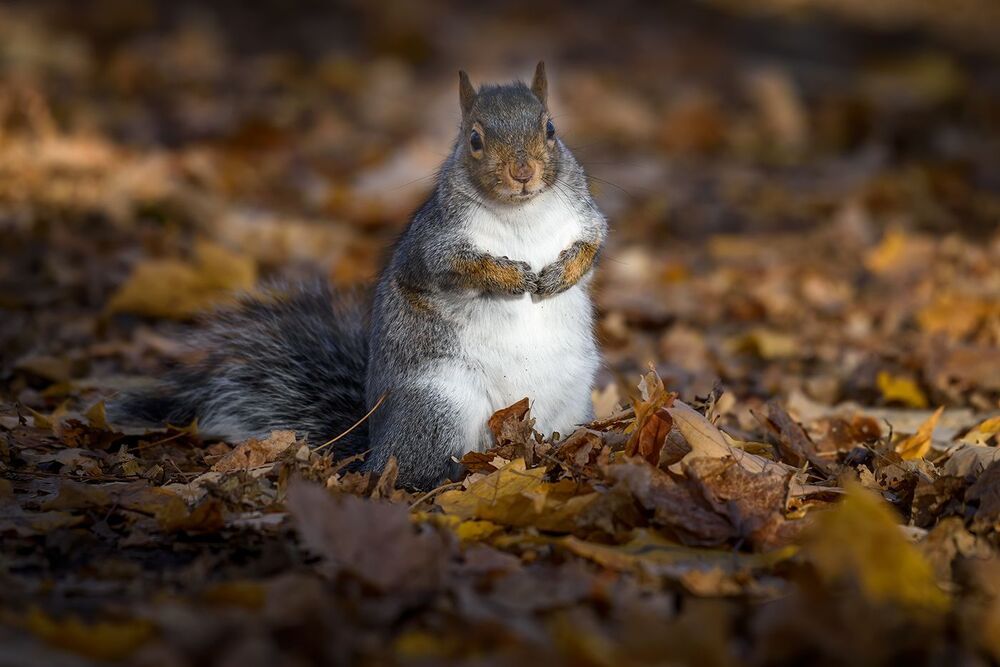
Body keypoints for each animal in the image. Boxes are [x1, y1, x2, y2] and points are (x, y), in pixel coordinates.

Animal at [109, 62, 608, 489]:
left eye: (551, 129)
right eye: (474, 139)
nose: (523, 172)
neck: (521, 213)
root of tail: (373, 449)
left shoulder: (585, 217)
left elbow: (593, 243)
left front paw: (560, 275)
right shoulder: (432, 243)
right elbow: (455, 267)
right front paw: (509, 277)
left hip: (572, 402)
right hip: (437, 407)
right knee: (415, 470)